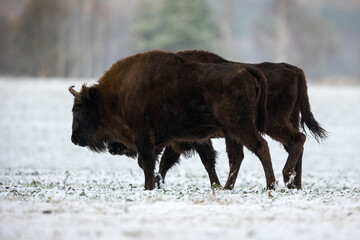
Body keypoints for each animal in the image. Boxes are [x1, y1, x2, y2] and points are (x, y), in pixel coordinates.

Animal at [69, 50, 276, 189]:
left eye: (78, 109)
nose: (74, 139)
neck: (117, 93)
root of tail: (245, 69)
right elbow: (155, 162)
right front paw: (155, 185)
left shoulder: (144, 135)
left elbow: (148, 162)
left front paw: (149, 187)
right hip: (231, 132)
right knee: (237, 157)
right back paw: (227, 188)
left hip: (240, 126)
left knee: (261, 147)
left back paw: (270, 185)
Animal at [109, 49, 326, 190]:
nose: (111, 147)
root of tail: (293, 70)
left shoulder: (194, 139)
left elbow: (202, 160)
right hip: (287, 120)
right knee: (296, 144)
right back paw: (294, 184)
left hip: (271, 123)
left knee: (295, 141)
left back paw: (285, 179)